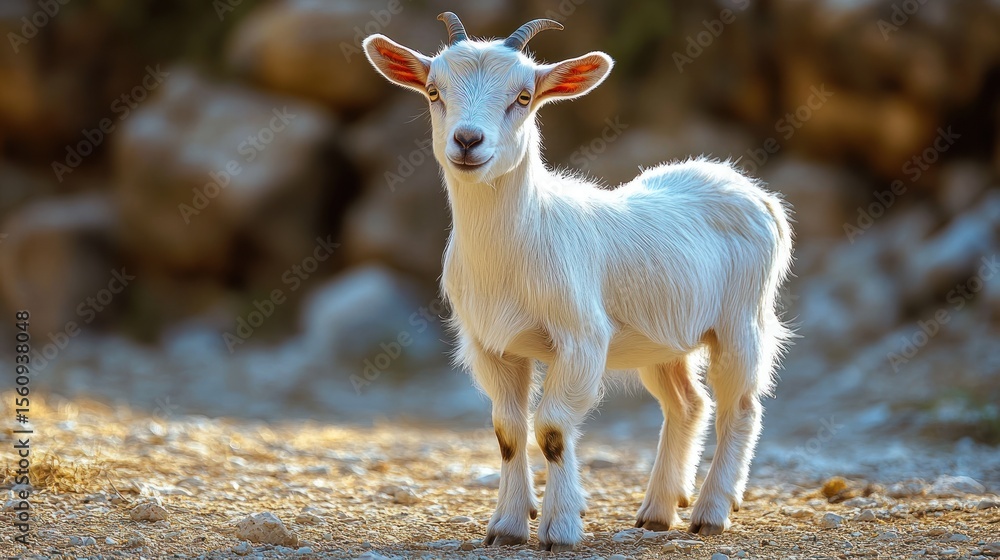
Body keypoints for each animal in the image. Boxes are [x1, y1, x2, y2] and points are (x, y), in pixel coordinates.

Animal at [363, 12, 793, 551]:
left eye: (524, 96)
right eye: (433, 91)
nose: (467, 140)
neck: (517, 246)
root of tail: (757, 193)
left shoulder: (582, 338)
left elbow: (551, 429)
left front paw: (560, 529)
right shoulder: (490, 345)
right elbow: (508, 431)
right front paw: (506, 527)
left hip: (742, 320)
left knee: (741, 406)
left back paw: (712, 512)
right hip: (662, 339)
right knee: (688, 404)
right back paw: (657, 511)